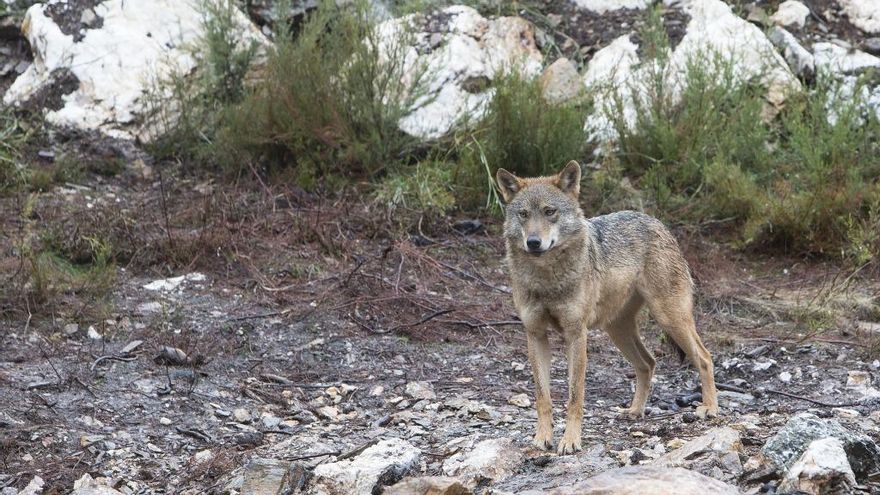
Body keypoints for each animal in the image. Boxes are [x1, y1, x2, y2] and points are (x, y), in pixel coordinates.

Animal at [496, 161, 716, 456]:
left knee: (704, 357)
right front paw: (542, 437)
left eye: (549, 212)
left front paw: (570, 441)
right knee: (648, 363)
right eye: (523, 214)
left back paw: (710, 408)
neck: (546, 279)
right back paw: (634, 411)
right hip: (618, 331)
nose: (533, 242)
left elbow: (575, 397)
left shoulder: (576, 334)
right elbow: (543, 396)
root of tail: (656, 221)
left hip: (670, 319)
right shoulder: (535, 334)